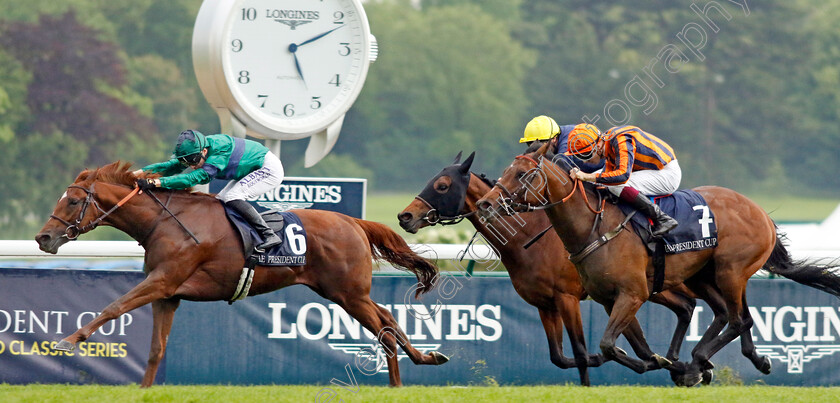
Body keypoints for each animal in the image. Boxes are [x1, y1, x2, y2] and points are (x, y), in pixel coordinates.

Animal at [35, 161, 450, 388]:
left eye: (73, 201)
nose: (43, 238)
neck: (165, 222)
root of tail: (354, 222)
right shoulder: (168, 294)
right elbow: (155, 349)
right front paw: (145, 389)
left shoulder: (162, 281)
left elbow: (113, 307)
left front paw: (68, 341)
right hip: (344, 293)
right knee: (388, 317)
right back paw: (420, 363)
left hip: (348, 294)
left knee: (385, 327)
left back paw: (406, 374)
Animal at [476, 144, 840, 386]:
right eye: (504, 172)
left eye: (521, 174)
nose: (485, 204)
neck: (594, 226)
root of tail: (761, 211)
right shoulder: (609, 298)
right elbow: (628, 346)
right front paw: (662, 362)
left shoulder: (630, 294)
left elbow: (606, 345)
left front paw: (672, 365)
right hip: (706, 275)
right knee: (733, 315)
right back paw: (739, 361)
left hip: (730, 271)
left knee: (737, 319)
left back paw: (696, 364)